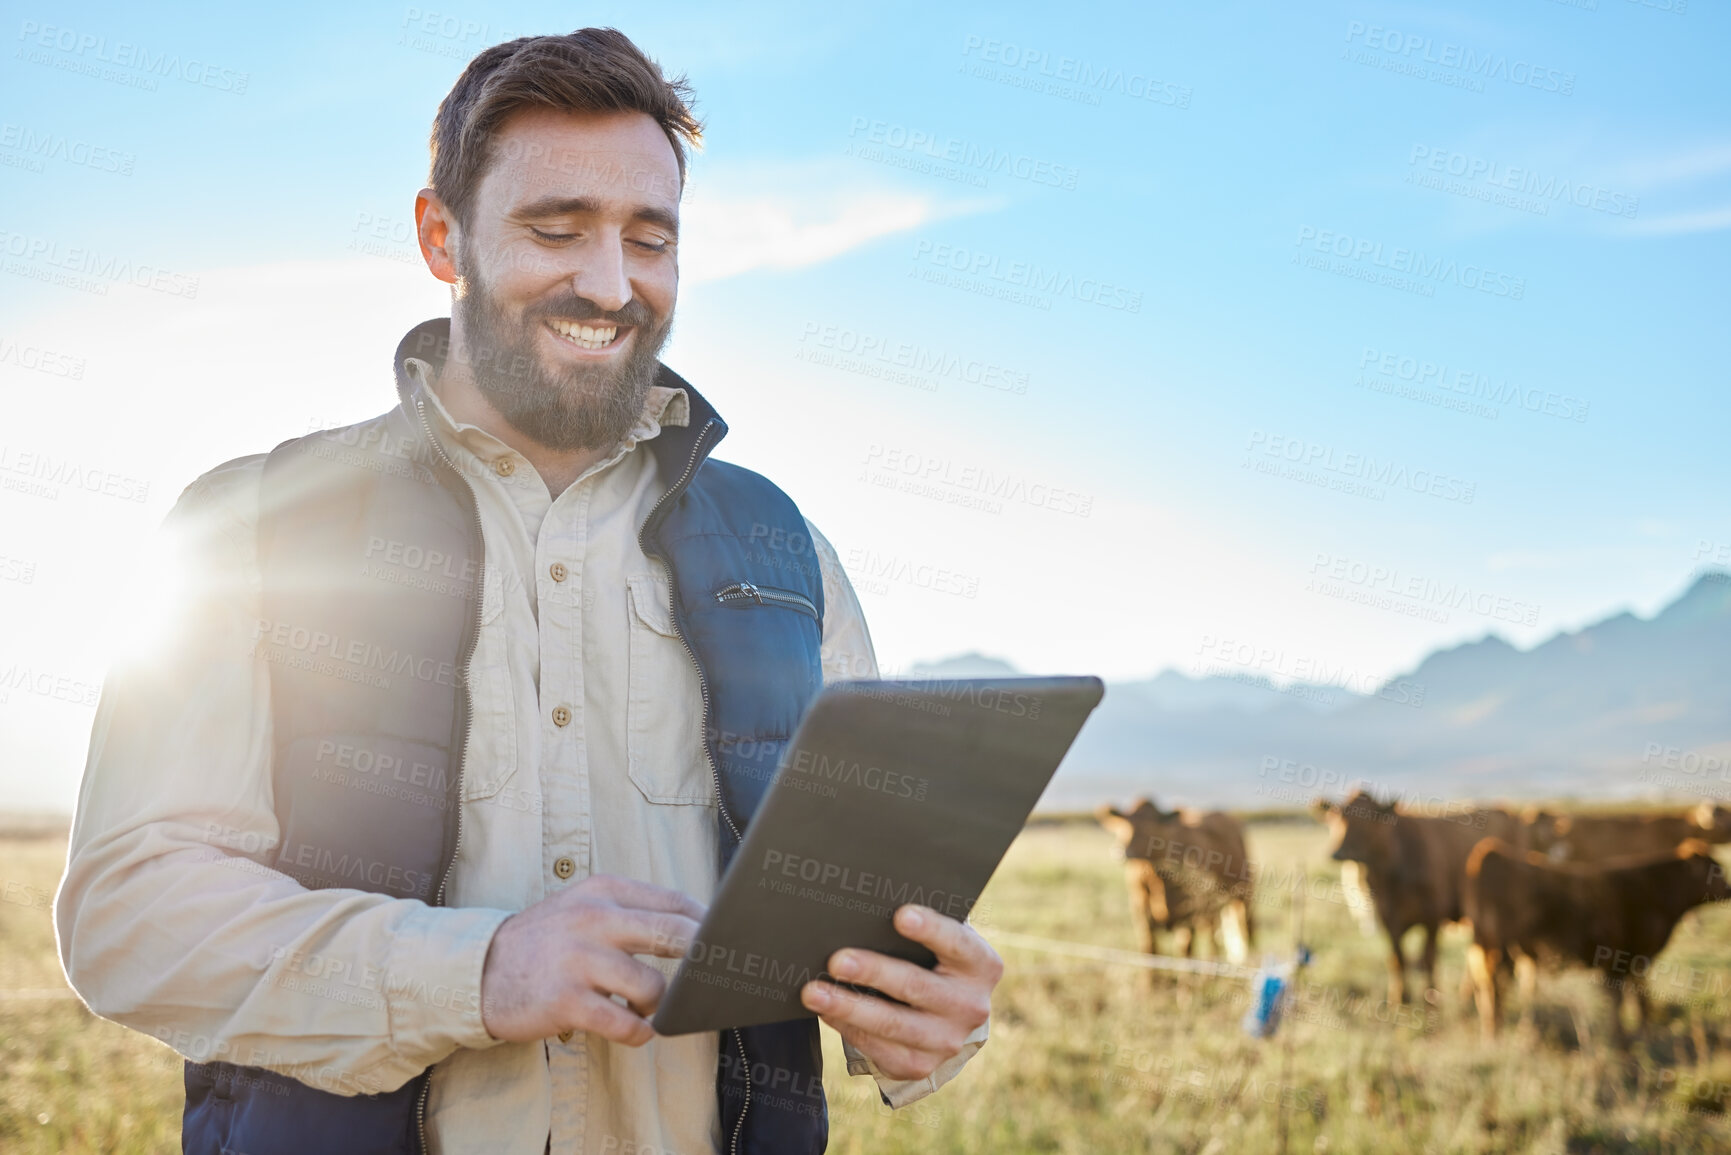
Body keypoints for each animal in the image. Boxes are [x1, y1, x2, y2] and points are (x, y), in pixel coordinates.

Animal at [1093, 796, 1260, 969]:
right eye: (1125, 823)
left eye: (1150, 826)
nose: (1124, 851)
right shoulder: (1141, 911)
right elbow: (1149, 950)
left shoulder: (1187, 915)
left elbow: (1184, 951)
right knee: (1213, 934)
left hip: (1243, 894)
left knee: (1246, 928)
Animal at [1315, 789, 1523, 1004]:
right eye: (1336, 816)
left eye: (1370, 818)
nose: (1338, 852)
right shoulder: (1389, 920)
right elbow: (1398, 959)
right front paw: (1400, 998)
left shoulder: (1433, 918)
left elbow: (1428, 959)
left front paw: (1430, 997)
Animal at [1460, 834, 1731, 1045]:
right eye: (1716, 870)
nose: (1729, 890)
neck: (1653, 890)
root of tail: (1490, 851)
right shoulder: (1632, 956)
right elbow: (1634, 999)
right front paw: (1632, 1036)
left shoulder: (1625, 961)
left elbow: (1627, 998)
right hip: (1499, 950)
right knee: (1495, 987)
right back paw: (1494, 1035)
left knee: (1487, 986)